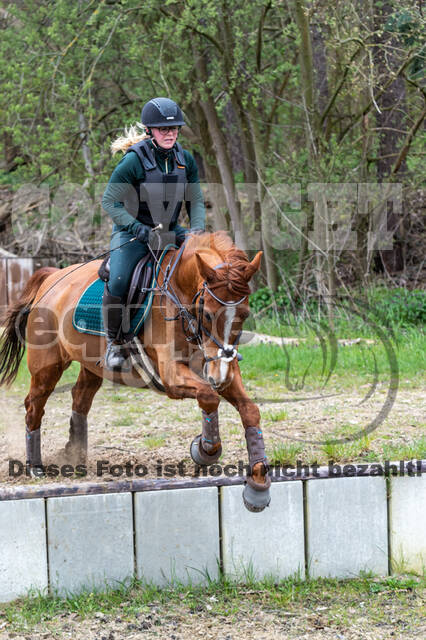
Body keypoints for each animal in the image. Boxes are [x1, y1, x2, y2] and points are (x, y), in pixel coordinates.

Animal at [0, 232, 272, 512]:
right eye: (207, 314)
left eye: (244, 314)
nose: (219, 376)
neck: (180, 295)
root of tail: (52, 278)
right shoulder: (172, 375)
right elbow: (209, 396)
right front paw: (205, 450)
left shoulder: (223, 368)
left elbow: (249, 410)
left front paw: (258, 487)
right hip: (47, 367)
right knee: (34, 405)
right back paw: (35, 467)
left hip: (91, 366)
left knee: (80, 399)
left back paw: (76, 455)